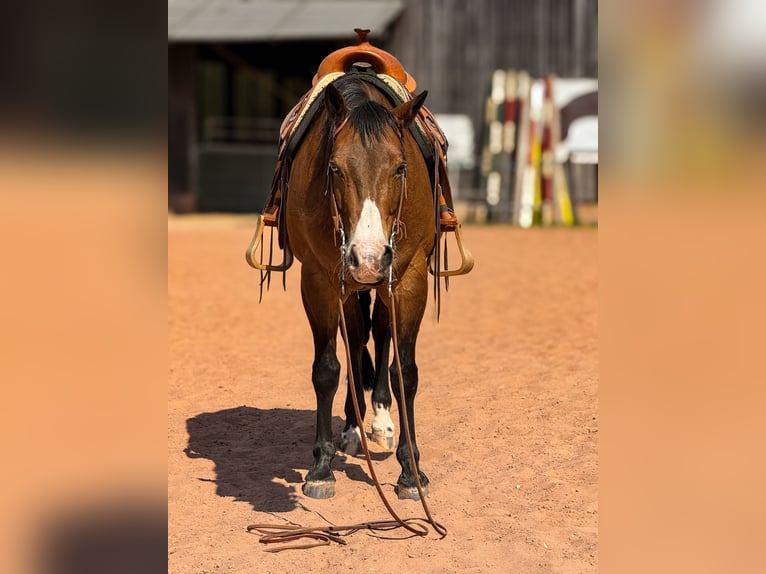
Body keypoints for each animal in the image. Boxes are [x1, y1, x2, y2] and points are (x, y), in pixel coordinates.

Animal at [284, 73, 436, 501]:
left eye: (400, 168)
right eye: (334, 168)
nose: (367, 259)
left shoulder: (409, 278)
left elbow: (405, 372)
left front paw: (411, 472)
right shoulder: (319, 280)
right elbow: (327, 369)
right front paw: (321, 468)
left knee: (380, 337)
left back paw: (382, 422)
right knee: (354, 341)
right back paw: (353, 428)